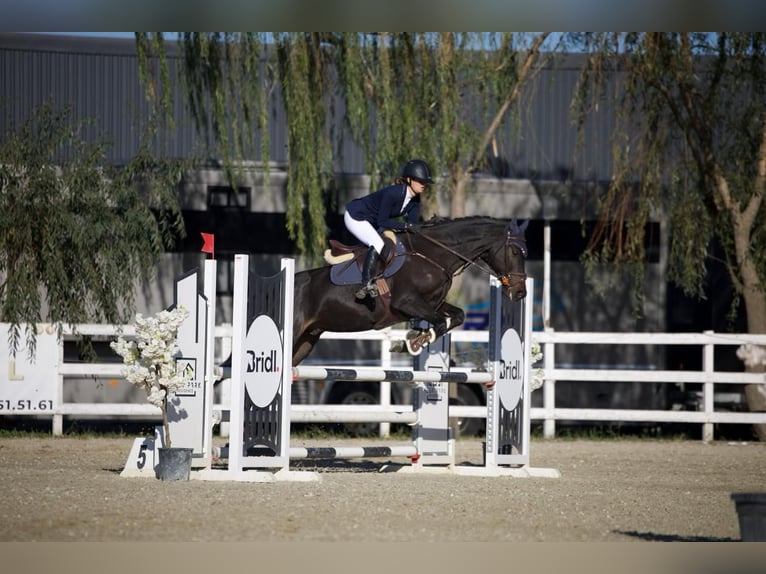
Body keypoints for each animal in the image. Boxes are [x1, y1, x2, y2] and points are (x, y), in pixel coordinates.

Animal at [292, 218, 532, 366]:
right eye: (514, 252)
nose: (520, 293)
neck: (433, 255)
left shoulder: (433, 303)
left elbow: (456, 316)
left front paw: (414, 340)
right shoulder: (405, 303)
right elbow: (439, 322)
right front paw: (413, 342)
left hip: (306, 340)